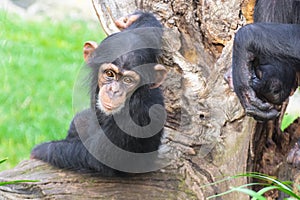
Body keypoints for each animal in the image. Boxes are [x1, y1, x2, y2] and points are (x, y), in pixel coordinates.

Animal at [31, 11, 168, 176]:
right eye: (109, 74)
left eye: (128, 80)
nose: (114, 90)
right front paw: (136, 19)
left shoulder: (137, 112)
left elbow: (98, 157)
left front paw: (41, 149)